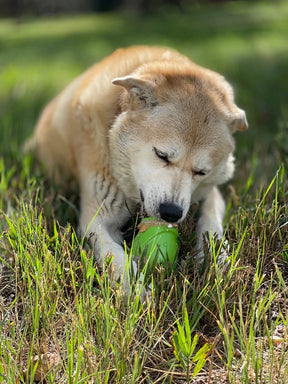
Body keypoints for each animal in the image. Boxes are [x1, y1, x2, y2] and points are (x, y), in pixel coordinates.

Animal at [31, 45, 248, 292]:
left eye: (201, 172)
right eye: (161, 155)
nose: (171, 212)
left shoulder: (209, 193)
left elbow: (211, 225)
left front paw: (217, 261)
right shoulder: (95, 219)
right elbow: (113, 254)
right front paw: (135, 288)